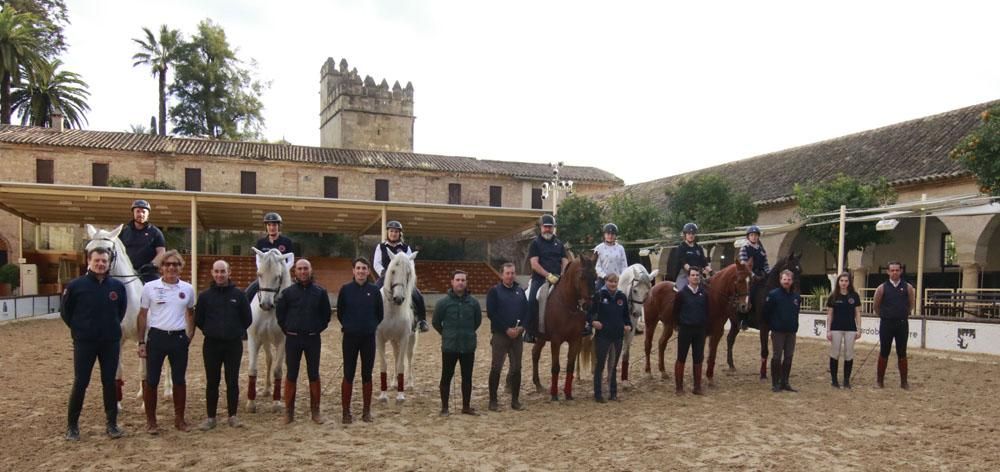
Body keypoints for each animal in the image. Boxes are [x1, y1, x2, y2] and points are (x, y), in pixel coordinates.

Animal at [84, 223, 170, 412]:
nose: (92, 270)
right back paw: (140, 392)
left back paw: (168, 391)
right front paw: (116, 404)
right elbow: (118, 371)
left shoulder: (146, 336)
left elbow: (145, 371)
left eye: (109, 249)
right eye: (88, 249)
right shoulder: (117, 340)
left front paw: (146, 405)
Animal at [246, 247, 292, 412]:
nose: (266, 304)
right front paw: (251, 403)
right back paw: (266, 389)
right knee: (268, 359)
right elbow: (252, 369)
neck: (269, 313)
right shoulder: (254, 339)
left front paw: (276, 403)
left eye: (277, 277)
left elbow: (278, 371)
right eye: (259, 274)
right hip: (265, 341)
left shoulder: (283, 342)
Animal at [376, 251, 420, 402]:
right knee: (395, 356)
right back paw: (394, 382)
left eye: (408, 273)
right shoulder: (379, 339)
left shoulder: (404, 338)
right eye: (393, 271)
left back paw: (410, 384)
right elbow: (383, 364)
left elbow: (401, 364)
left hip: (411, 338)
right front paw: (383, 395)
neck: (392, 310)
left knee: (409, 357)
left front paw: (400, 396)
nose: (399, 299)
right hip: (393, 340)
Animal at [528, 253, 596, 400]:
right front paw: (554, 395)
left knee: (535, 353)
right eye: (582, 277)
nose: (588, 304)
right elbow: (556, 367)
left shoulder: (575, 340)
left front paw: (568, 393)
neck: (567, 303)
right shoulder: (556, 340)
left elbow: (570, 366)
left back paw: (538, 384)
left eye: (596, 276)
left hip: (541, 337)